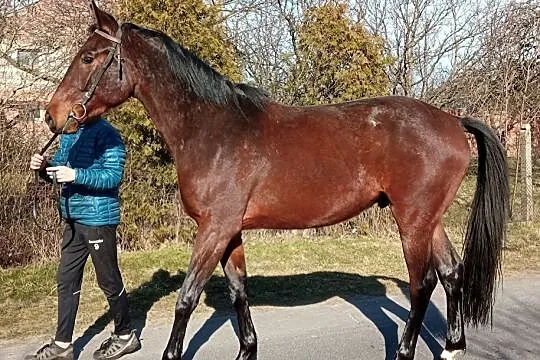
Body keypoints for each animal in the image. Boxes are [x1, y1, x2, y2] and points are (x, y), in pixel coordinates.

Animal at [44, 1, 508, 358]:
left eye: (88, 57)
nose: (52, 115)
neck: (214, 130)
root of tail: (452, 121)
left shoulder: (213, 230)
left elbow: (186, 299)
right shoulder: (229, 231)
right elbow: (238, 292)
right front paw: (247, 349)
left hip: (412, 220)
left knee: (422, 283)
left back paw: (407, 349)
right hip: (429, 218)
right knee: (451, 272)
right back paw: (452, 346)